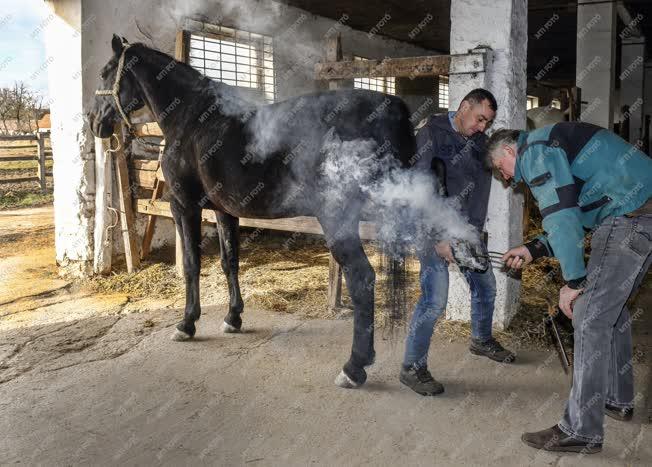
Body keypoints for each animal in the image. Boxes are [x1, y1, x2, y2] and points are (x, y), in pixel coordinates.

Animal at [88, 35, 474, 388]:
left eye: (106, 71)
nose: (94, 122)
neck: (192, 119)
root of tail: (390, 106)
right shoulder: (225, 211)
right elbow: (229, 262)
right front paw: (233, 318)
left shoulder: (184, 206)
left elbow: (191, 265)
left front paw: (186, 324)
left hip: (339, 221)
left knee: (362, 279)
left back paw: (354, 367)